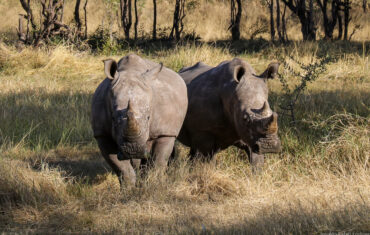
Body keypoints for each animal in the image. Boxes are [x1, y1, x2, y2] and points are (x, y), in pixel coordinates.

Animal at [91, 54, 186, 185]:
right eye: (113, 118)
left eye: (148, 117)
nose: (133, 150)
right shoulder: (102, 134)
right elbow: (122, 168)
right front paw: (129, 188)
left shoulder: (165, 132)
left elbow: (158, 163)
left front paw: (153, 185)